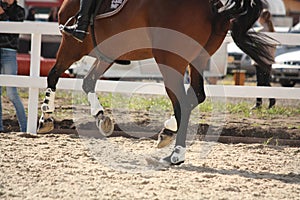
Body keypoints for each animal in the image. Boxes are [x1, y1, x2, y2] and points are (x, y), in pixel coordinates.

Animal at [36, 0, 274, 165]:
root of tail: (213, 8)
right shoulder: (107, 52)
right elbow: (88, 82)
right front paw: (101, 118)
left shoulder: (71, 45)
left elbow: (53, 75)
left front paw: (45, 117)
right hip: (197, 59)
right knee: (196, 95)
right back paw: (167, 133)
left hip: (170, 61)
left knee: (183, 102)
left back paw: (176, 155)